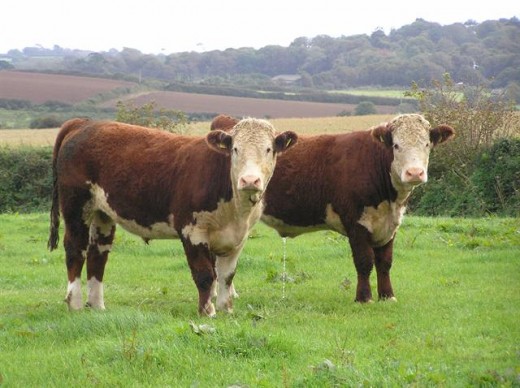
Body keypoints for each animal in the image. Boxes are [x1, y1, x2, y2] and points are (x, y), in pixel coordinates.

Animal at [49, 117, 298, 316]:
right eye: (235, 149)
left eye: (269, 149)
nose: (249, 180)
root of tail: (84, 123)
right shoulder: (191, 230)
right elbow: (205, 274)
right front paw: (207, 312)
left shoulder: (238, 237)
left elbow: (227, 275)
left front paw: (226, 309)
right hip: (76, 207)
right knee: (75, 250)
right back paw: (75, 303)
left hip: (102, 214)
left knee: (97, 255)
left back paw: (97, 306)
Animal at [209, 113, 452, 302]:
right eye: (396, 145)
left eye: (427, 144)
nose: (414, 173)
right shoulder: (356, 223)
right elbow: (364, 262)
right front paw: (364, 298)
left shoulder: (390, 226)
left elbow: (385, 262)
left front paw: (387, 296)